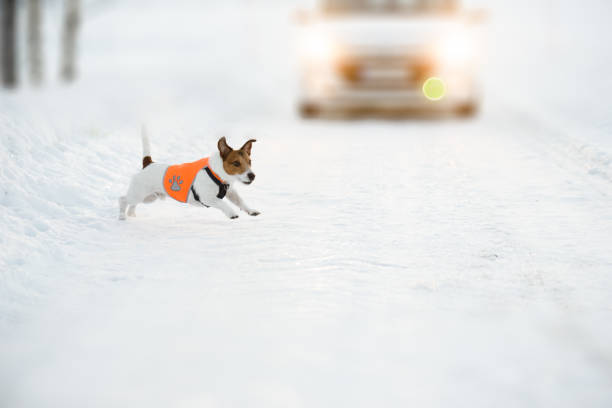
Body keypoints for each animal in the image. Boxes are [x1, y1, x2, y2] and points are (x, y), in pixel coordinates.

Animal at [119, 129, 260, 222]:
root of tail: (148, 163)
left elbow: (240, 201)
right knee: (123, 199)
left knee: (132, 204)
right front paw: (231, 213)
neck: (217, 173)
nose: (252, 176)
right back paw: (122, 216)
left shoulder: (231, 192)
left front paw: (251, 210)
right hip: (139, 193)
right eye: (236, 163)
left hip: (149, 198)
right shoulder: (208, 198)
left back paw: (131, 214)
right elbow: (222, 203)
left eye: (249, 161)